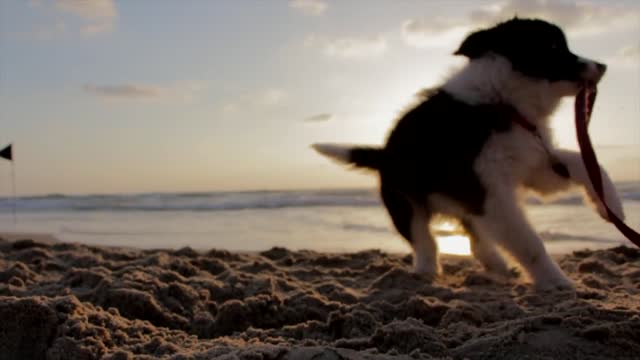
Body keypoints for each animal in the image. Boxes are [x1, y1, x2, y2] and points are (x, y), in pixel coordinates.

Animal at [316, 18, 624, 292]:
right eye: (553, 47)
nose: (603, 66)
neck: (502, 101)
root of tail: (383, 153)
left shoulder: (534, 164)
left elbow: (586, 162)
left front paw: (611, 205)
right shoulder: (492, 192)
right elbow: (529, 241)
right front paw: (555, 281)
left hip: (464, 203)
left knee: (475, 239)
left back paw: (497, 265)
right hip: (404, 202)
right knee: (425, 241)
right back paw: (427, 271)